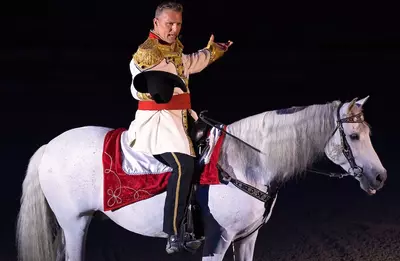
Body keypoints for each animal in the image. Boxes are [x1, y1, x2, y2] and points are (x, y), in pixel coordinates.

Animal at [16, 96, 388, 260]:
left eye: (368, 133)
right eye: (354, 137)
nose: (380, 178)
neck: (246, 163)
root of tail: (50, 146)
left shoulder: (246, 239)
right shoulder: (218, 240)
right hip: (75, 223)